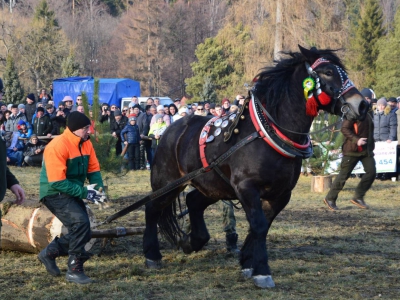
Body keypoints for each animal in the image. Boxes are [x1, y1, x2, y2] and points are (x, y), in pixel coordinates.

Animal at [143, 45, 368, 288]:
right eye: (327, 72)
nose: (363, 104)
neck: (268, 133)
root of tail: (170, 130)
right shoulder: (246, 187)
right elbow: (258, 225)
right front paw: (262, 271)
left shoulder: (281, 193)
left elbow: (262, 226)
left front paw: (247, 263)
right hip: (168, 183)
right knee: (152, 208)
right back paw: (152, 255)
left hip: (213, 185)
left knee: (193, 201)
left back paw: (191, 241)